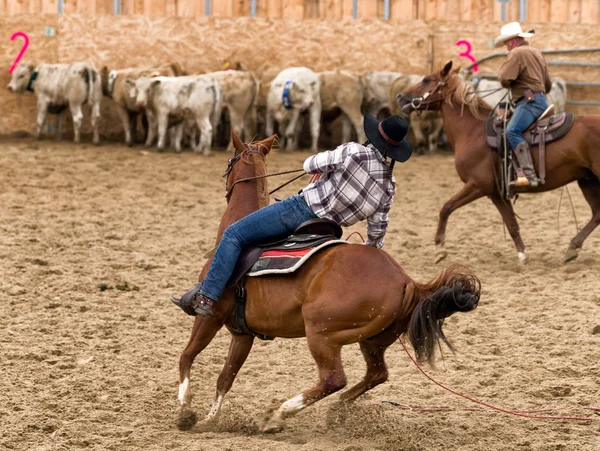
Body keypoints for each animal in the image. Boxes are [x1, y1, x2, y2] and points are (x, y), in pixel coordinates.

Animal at [173, 129, 478, 432]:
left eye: (229, 161)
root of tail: (406, 281)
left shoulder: (210, 317)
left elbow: (187, 355)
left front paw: (185, 409)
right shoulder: (242, 333)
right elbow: (225, 377)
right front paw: (210, 421)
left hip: (321, 333)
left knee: (334, 379)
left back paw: (279, 414)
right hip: (373, 341)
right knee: (376, 374)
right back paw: (337, 409)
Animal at [398, 61, 600, 264]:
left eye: (426, 80)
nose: (400, 97)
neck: (472, 131)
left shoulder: (478, 185)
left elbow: (446, 208)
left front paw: (440, 249)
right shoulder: (495, 192)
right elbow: (511, 223)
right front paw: (522, 254)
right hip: (587, 180)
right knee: (597, 214)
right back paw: (572, 248)